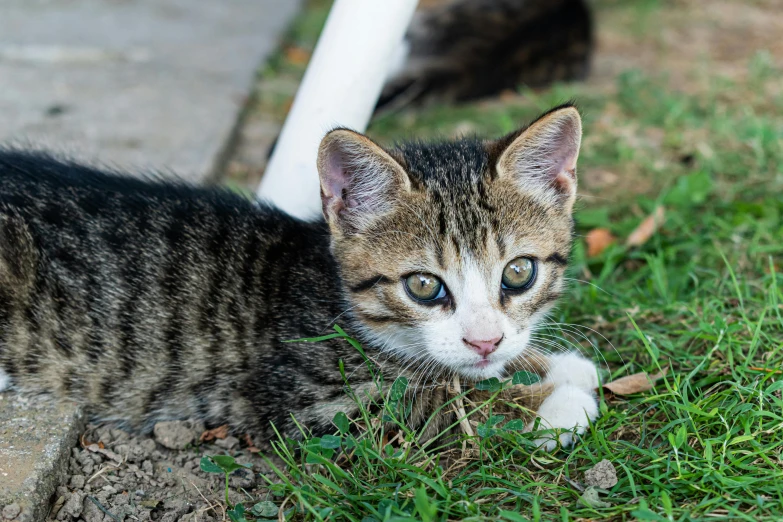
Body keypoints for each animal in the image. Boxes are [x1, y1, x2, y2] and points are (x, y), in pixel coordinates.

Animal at [0, 104, 596, 446]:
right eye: (424, 286)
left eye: (518, 273)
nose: (484, 341)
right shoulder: (308, 405)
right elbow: (433, 403)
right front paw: (552, 403)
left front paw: (555, 365)